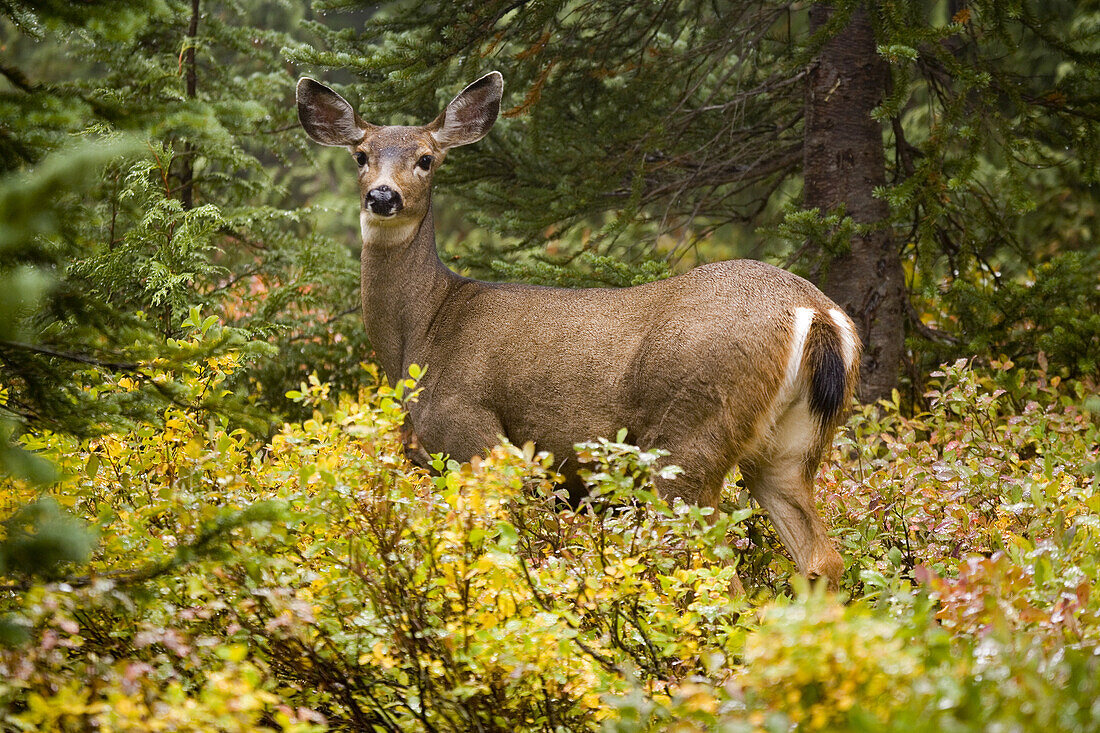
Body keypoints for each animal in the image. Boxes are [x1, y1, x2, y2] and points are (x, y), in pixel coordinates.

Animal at [297, 71, 862, 589]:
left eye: (426, 158)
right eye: (360, 155)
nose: (382, 196)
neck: (424, 331)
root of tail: (816, 315)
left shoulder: (475, 434)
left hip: (689, 433)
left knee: (714, 565)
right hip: (791, 445)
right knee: (821, 557)